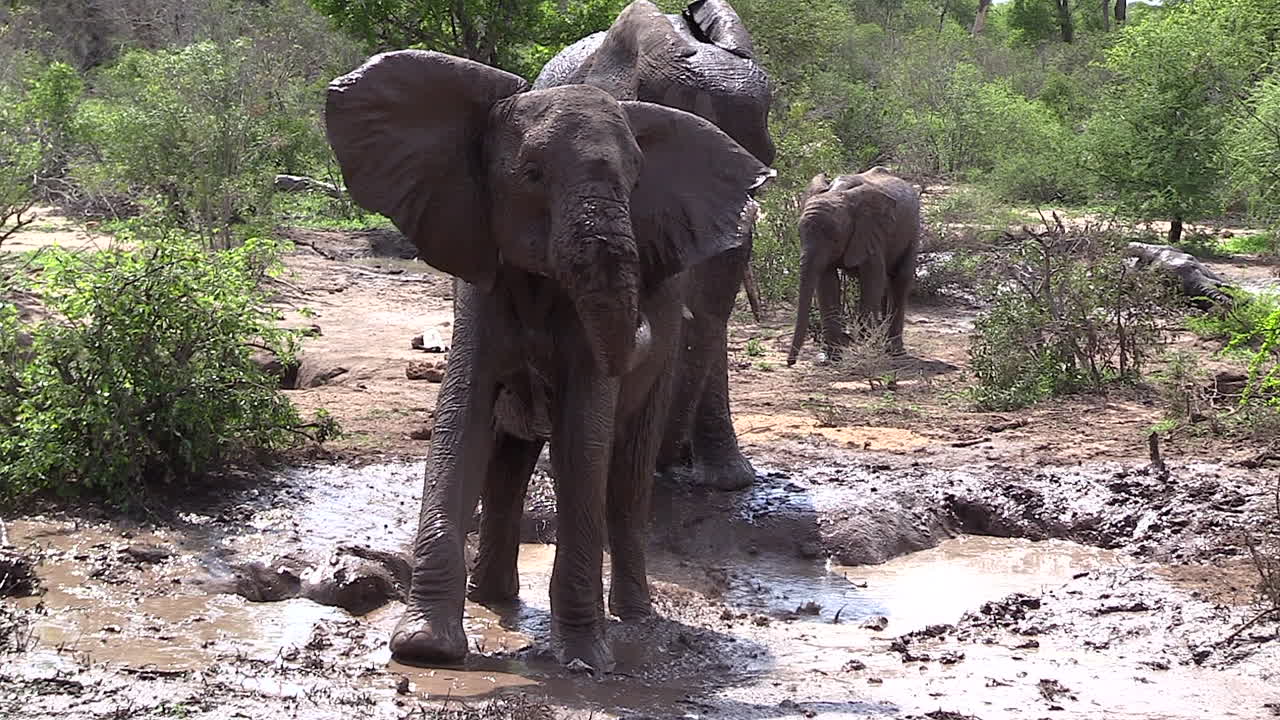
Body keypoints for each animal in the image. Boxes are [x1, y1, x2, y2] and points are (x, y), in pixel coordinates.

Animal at [323, 50, 772, 671]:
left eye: (636, 181)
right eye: (531, 174)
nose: (650, 310)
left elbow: (583, 435)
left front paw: (585, 659)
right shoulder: (478, 271)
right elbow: (461, 419)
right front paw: (425, 648)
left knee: (625, 481)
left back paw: (634, 617)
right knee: (508, 466)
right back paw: (492, 597)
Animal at [786, 167, 922, 366]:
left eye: (835, 237)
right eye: (800, 234)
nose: (790, 362)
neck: (837, 193)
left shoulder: (870, 232)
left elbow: (872, 280)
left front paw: (866, 351)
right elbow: (827, 284)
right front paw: (830, 359)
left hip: (913, 230)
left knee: (900, 279)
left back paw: (895, 352)